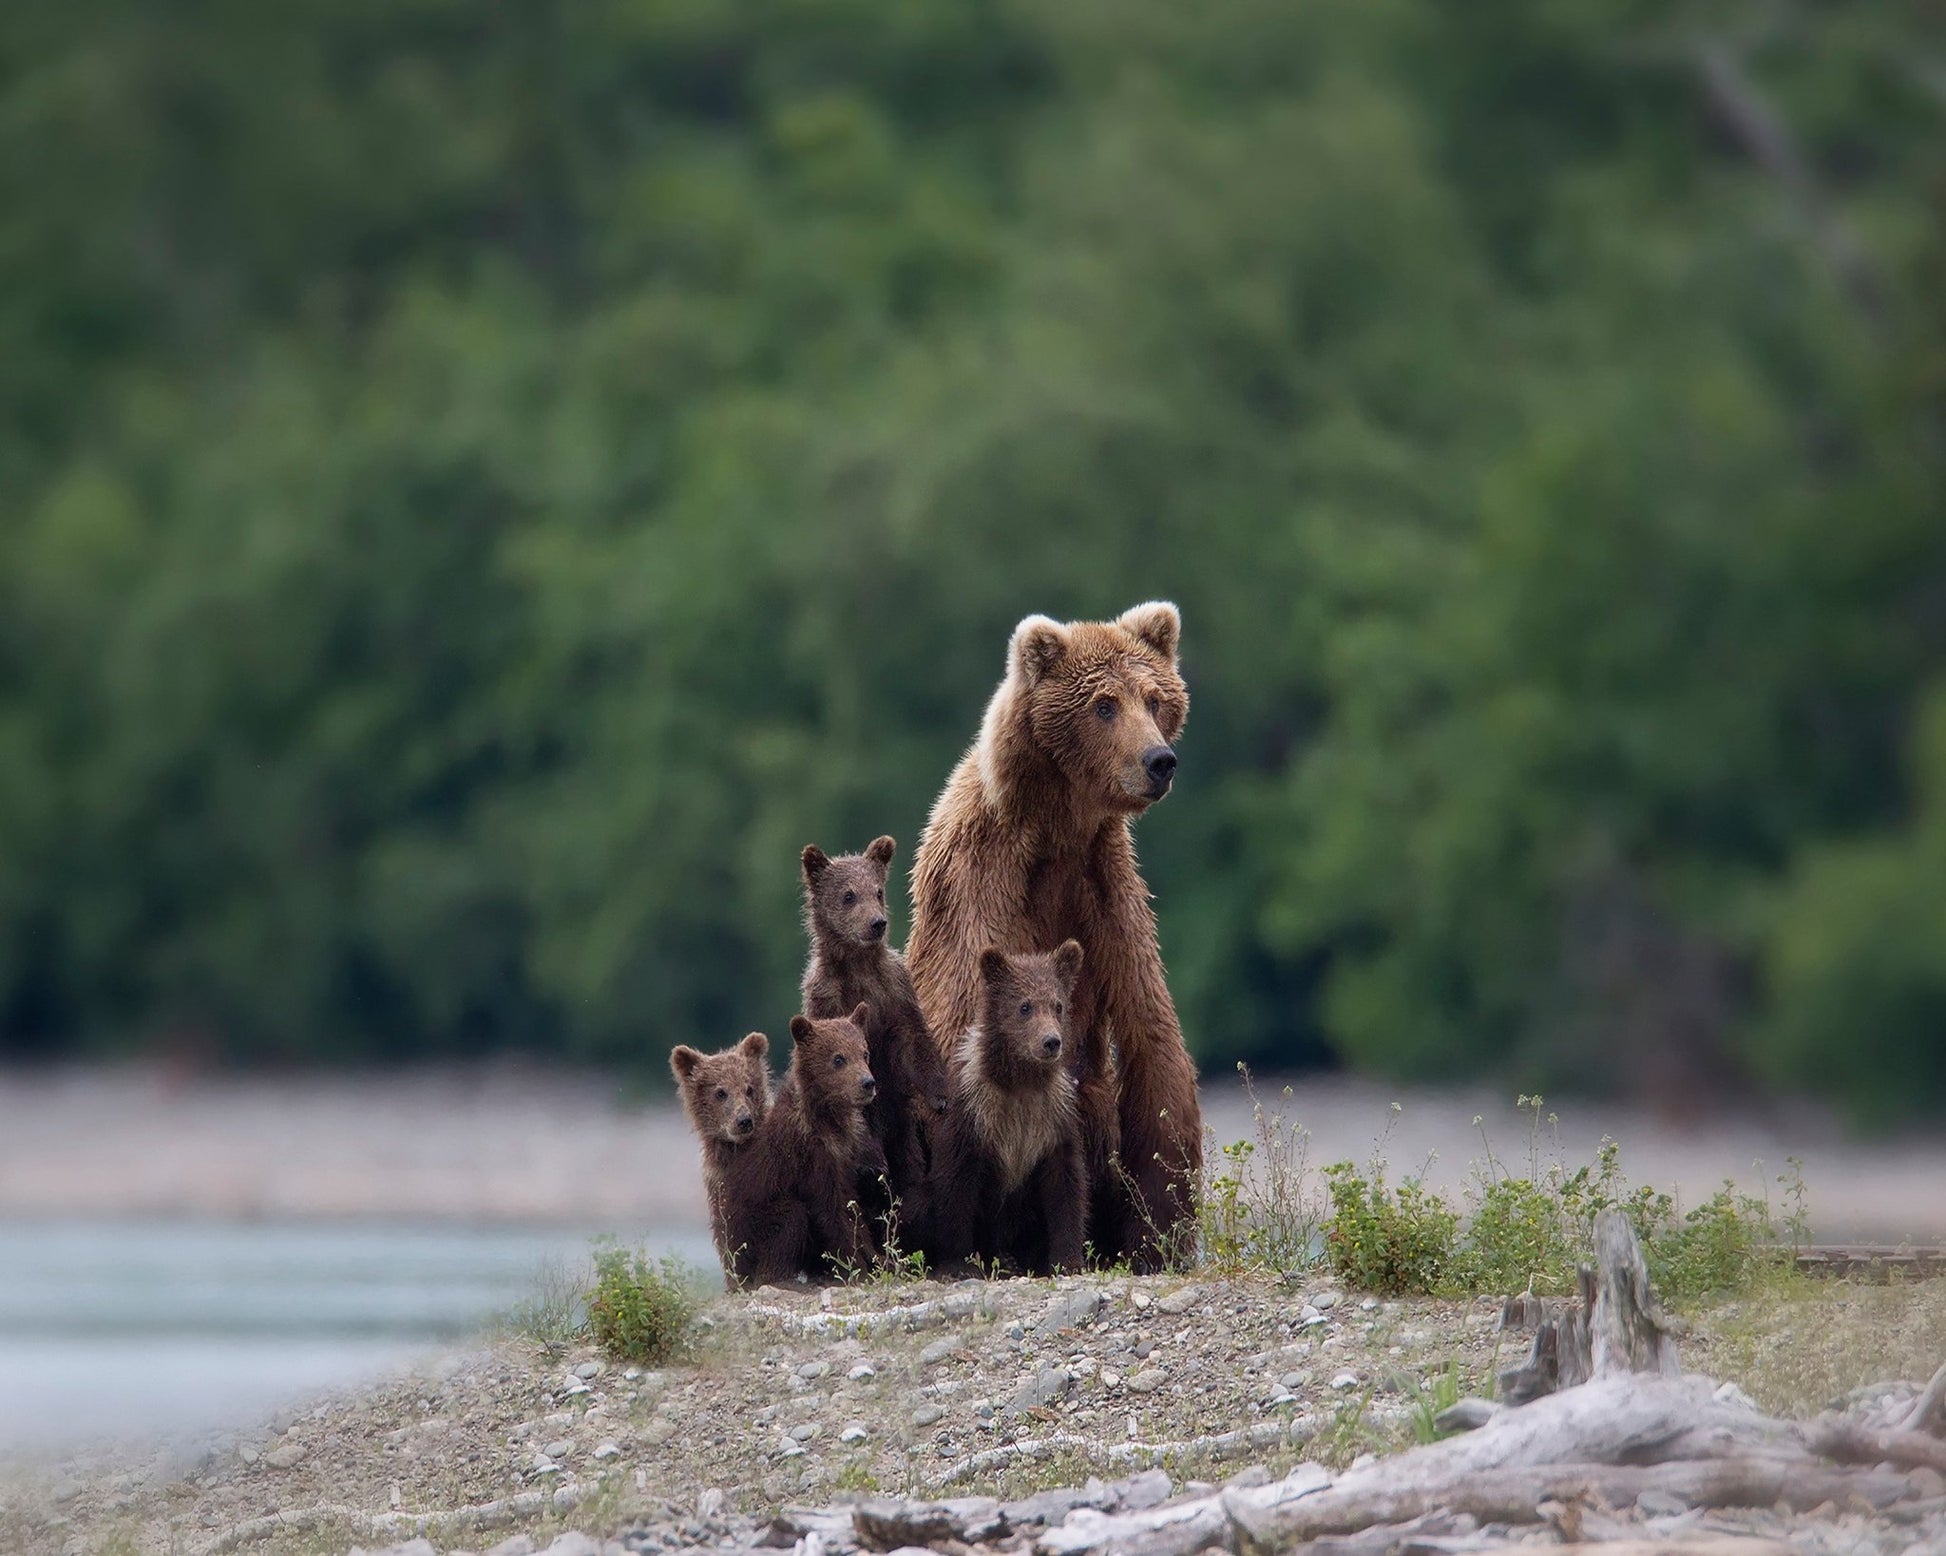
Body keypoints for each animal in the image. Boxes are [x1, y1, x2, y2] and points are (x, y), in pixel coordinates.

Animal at [717, 1004, 888, 1287]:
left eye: (864, 1052)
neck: (827, 1121)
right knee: (790, 1217)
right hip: (750, 1226)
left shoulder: (845, 1156)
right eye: (838, 1058)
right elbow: (830, 1212)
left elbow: (852, 1206)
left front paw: (880, 1259)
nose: (868, 1083)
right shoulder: (809, 1156)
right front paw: (858, 1268)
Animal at [800, 835, 949, 1224]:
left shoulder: (895, 990)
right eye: (848, 895)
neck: (858, 966)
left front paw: (940, 1096)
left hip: (902, 1129)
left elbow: (914, 1039)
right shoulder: (827, 999)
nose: (876, 923)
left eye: (878, 891)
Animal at [921, 941, 1088, 1277]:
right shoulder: (975, 1112)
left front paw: (1068, 1260)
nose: (1051, 1042)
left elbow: (1065, 1186)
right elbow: (956, 1184)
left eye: (1058, 1005)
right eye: (1025, 1006)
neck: (1019, 1084)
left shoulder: (1053, 1116)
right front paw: (959, 1262)